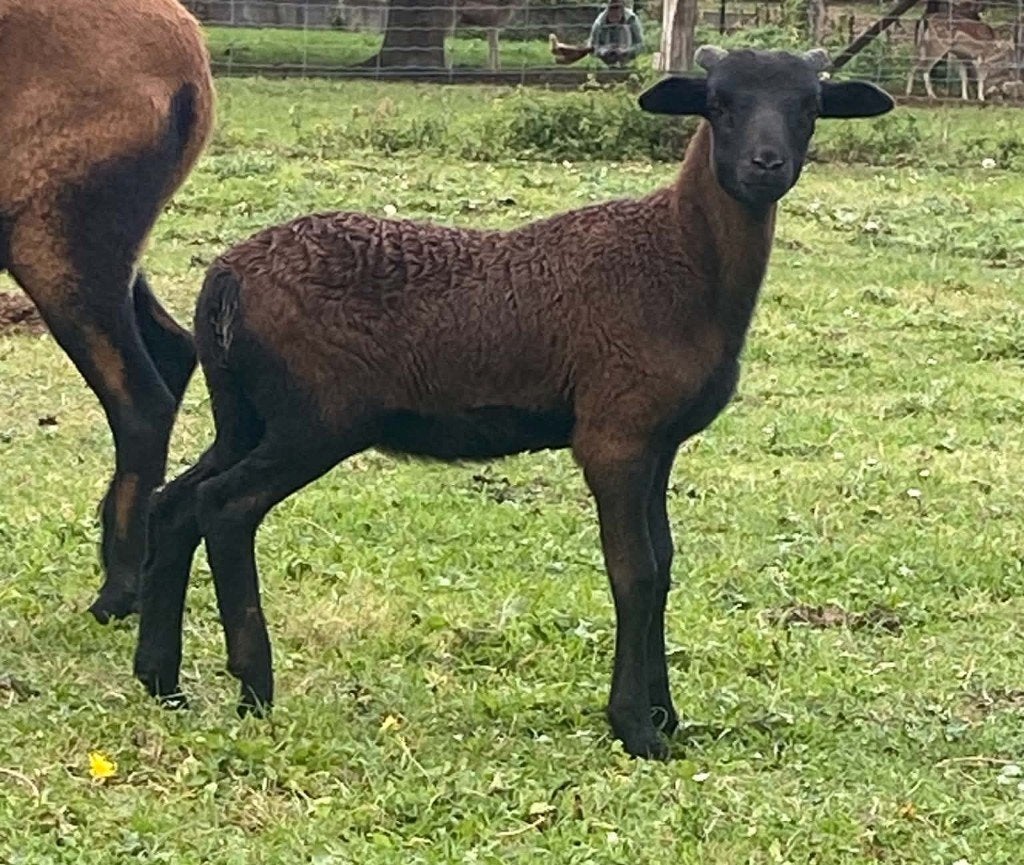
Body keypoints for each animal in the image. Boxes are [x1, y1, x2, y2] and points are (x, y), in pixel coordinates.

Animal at [0, 0, 214, 622]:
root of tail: (189, 53)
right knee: (173, 347)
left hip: (59, 239)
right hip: (104, 243)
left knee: (141, 401)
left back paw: (120, 588)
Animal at [133, 46, 893, 760]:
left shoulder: (659, 440)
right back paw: (253, 686)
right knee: (226, 507)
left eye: (809, 106)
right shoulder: (615, 433)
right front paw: (635, 727)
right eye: (720, 104)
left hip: (246, 412)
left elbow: (666, 565)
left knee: (175, 504)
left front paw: (665, 716)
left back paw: (161, 680)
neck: (680, 261)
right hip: (315, 417)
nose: (766, 165)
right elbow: (636, 572)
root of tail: (227, 277)